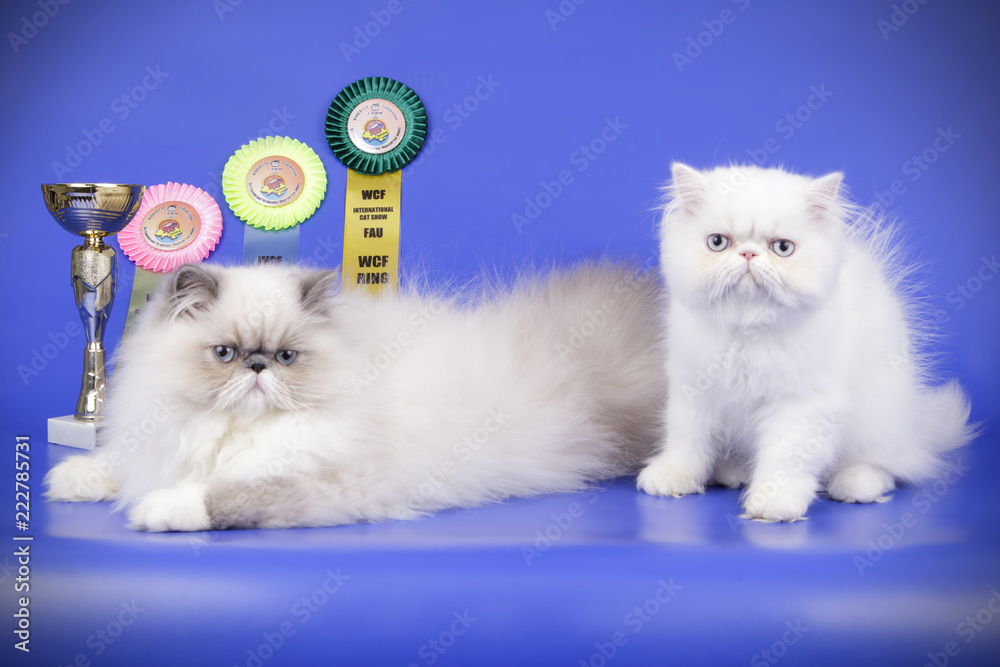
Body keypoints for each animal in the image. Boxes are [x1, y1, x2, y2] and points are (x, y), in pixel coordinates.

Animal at [48, 260, 672, 532]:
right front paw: (69, 480)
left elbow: (225, 495)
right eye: (225, 354)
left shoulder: (324, 482)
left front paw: (160, 508)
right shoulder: (160, 444)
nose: (257, 367)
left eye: (286, 358)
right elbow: (117, 463)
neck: (233, 431)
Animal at [636, 164, 972, 524]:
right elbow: (687, 442)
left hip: (878, 416)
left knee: (885, 466)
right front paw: (672, 476)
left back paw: (856, 485)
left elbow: (786, 459)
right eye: (718, 242)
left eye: (783, 248)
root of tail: (916, 432)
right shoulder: (694, 390)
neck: (747, 330)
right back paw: (733, 471)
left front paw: (773, 503)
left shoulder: (803, 405)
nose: (748, 253)